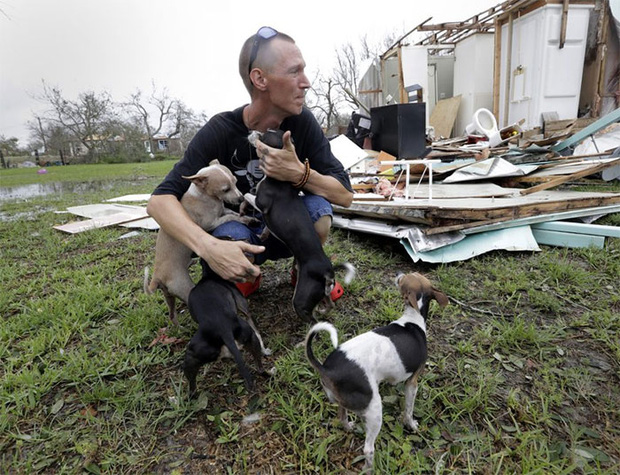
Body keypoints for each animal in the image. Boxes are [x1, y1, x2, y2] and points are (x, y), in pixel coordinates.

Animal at [304, 274, 446, 470]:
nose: (398, 274)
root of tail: (327, 369)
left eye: (405, 277)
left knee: (342, 417)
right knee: (368, 449)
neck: (412, 318)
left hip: (345, 402)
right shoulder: (412, 382)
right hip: (374, 410)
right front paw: (411, 424)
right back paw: (370, 468)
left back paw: (350, 427)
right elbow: (408, 410)